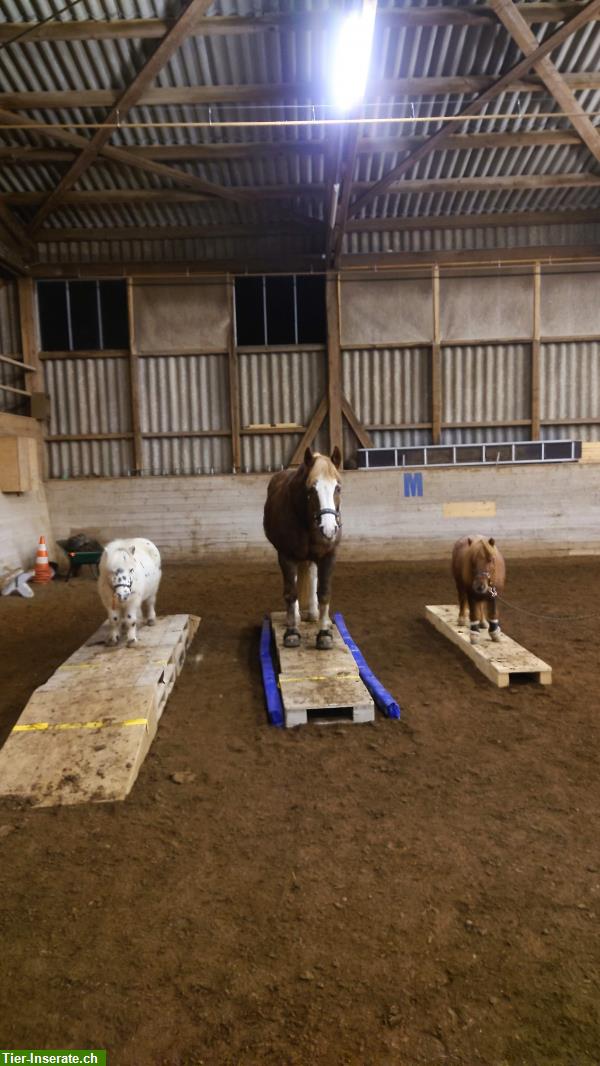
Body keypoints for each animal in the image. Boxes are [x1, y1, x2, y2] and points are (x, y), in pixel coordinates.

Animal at [264, 447, 343, 648]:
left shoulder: (328, 555)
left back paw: (313, 613)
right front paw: (292, 633)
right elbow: (291, 593)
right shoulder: (286, 555)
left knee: (312, 575)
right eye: (311, 489)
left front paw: (324, 634)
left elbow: (324, 592)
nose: (329, 529)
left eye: (338, 487)